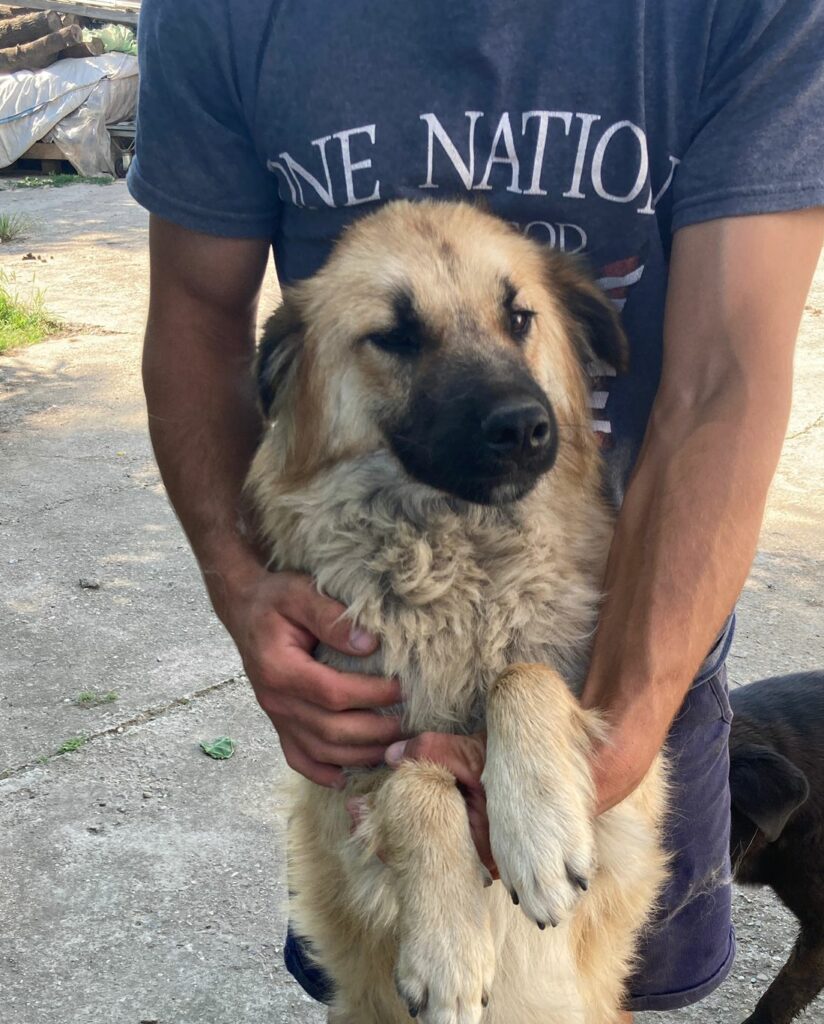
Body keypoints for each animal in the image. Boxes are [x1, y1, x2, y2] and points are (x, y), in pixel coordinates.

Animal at [246, 200, 668, 1024]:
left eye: (519, 318)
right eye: (396, 335)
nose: (522, 426)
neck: (459, 566)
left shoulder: (626, 793)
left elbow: (522, 676)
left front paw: (537, 828)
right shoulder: (349, 771)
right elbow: (416, 778)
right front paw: (446, 947)